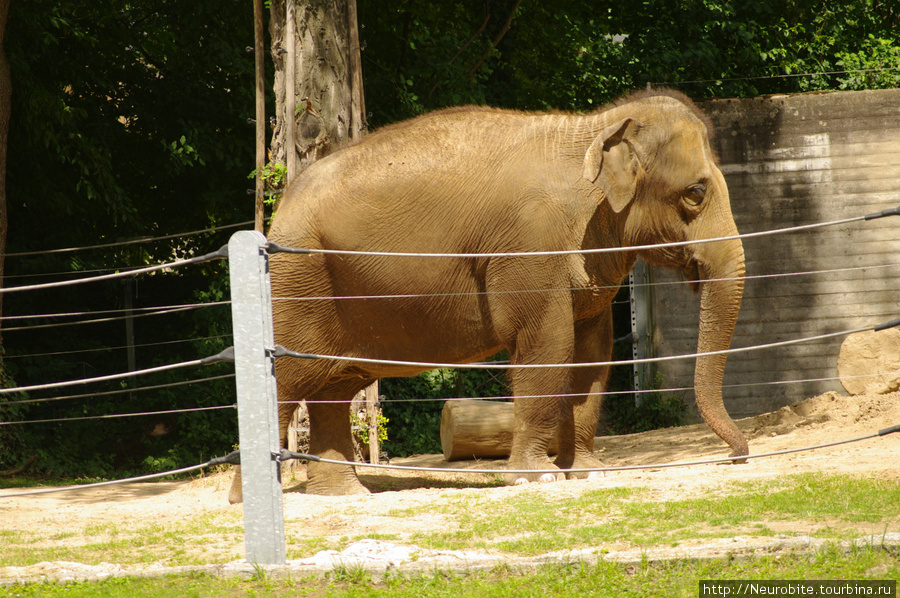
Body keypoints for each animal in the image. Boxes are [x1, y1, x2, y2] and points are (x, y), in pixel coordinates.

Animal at [229, 88, 748, 502]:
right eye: (696, 192)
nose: (737, 457)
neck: (592, 126)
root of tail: (278, 209)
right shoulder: (530, 246)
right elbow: (548, 346)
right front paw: (537, 479)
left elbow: (593, 353)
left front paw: (588, 474)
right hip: (298, 281)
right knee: (290, 379)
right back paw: (248, 498)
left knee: (333, 388)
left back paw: (346, 495)